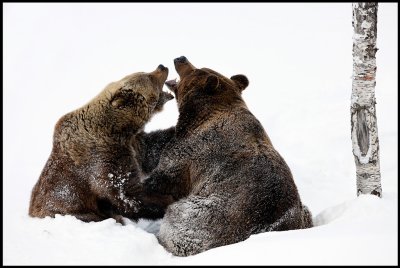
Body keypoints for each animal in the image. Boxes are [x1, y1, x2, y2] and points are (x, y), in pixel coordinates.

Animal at [28, 66, 176, 223]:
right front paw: (166, 200)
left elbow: (152, 148)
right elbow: (125, 193)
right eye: (149, 77)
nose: (162, 66)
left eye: (144, 72)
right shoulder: (103, 156)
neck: (117, 129)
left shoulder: (133, 143)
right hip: (74, 213)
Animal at [144, 56, 312, 255]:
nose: (180, 58)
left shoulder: (190, 151)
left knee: (177, 222)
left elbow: (164, 176)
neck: (199, 115)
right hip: (301, 213)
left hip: (202, 218)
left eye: (194, 70)